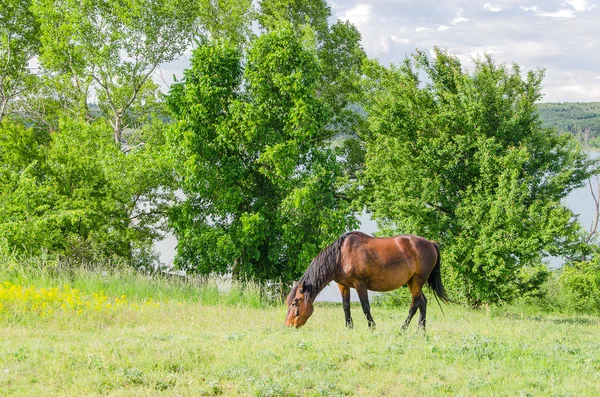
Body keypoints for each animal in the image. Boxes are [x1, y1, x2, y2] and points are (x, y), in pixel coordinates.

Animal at [286, 230, 450, 330]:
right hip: (412, 282)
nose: (288, 325)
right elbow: (346, 306)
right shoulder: (343, 285)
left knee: (415, 304)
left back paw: (403, 329)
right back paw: (421, 330)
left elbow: (365, 307)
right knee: (423, 303)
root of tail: (431, 243)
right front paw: (349, 327)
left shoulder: (360, 284)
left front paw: (372, 327)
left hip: (417, 281)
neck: (341, 255)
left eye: (295, 303)